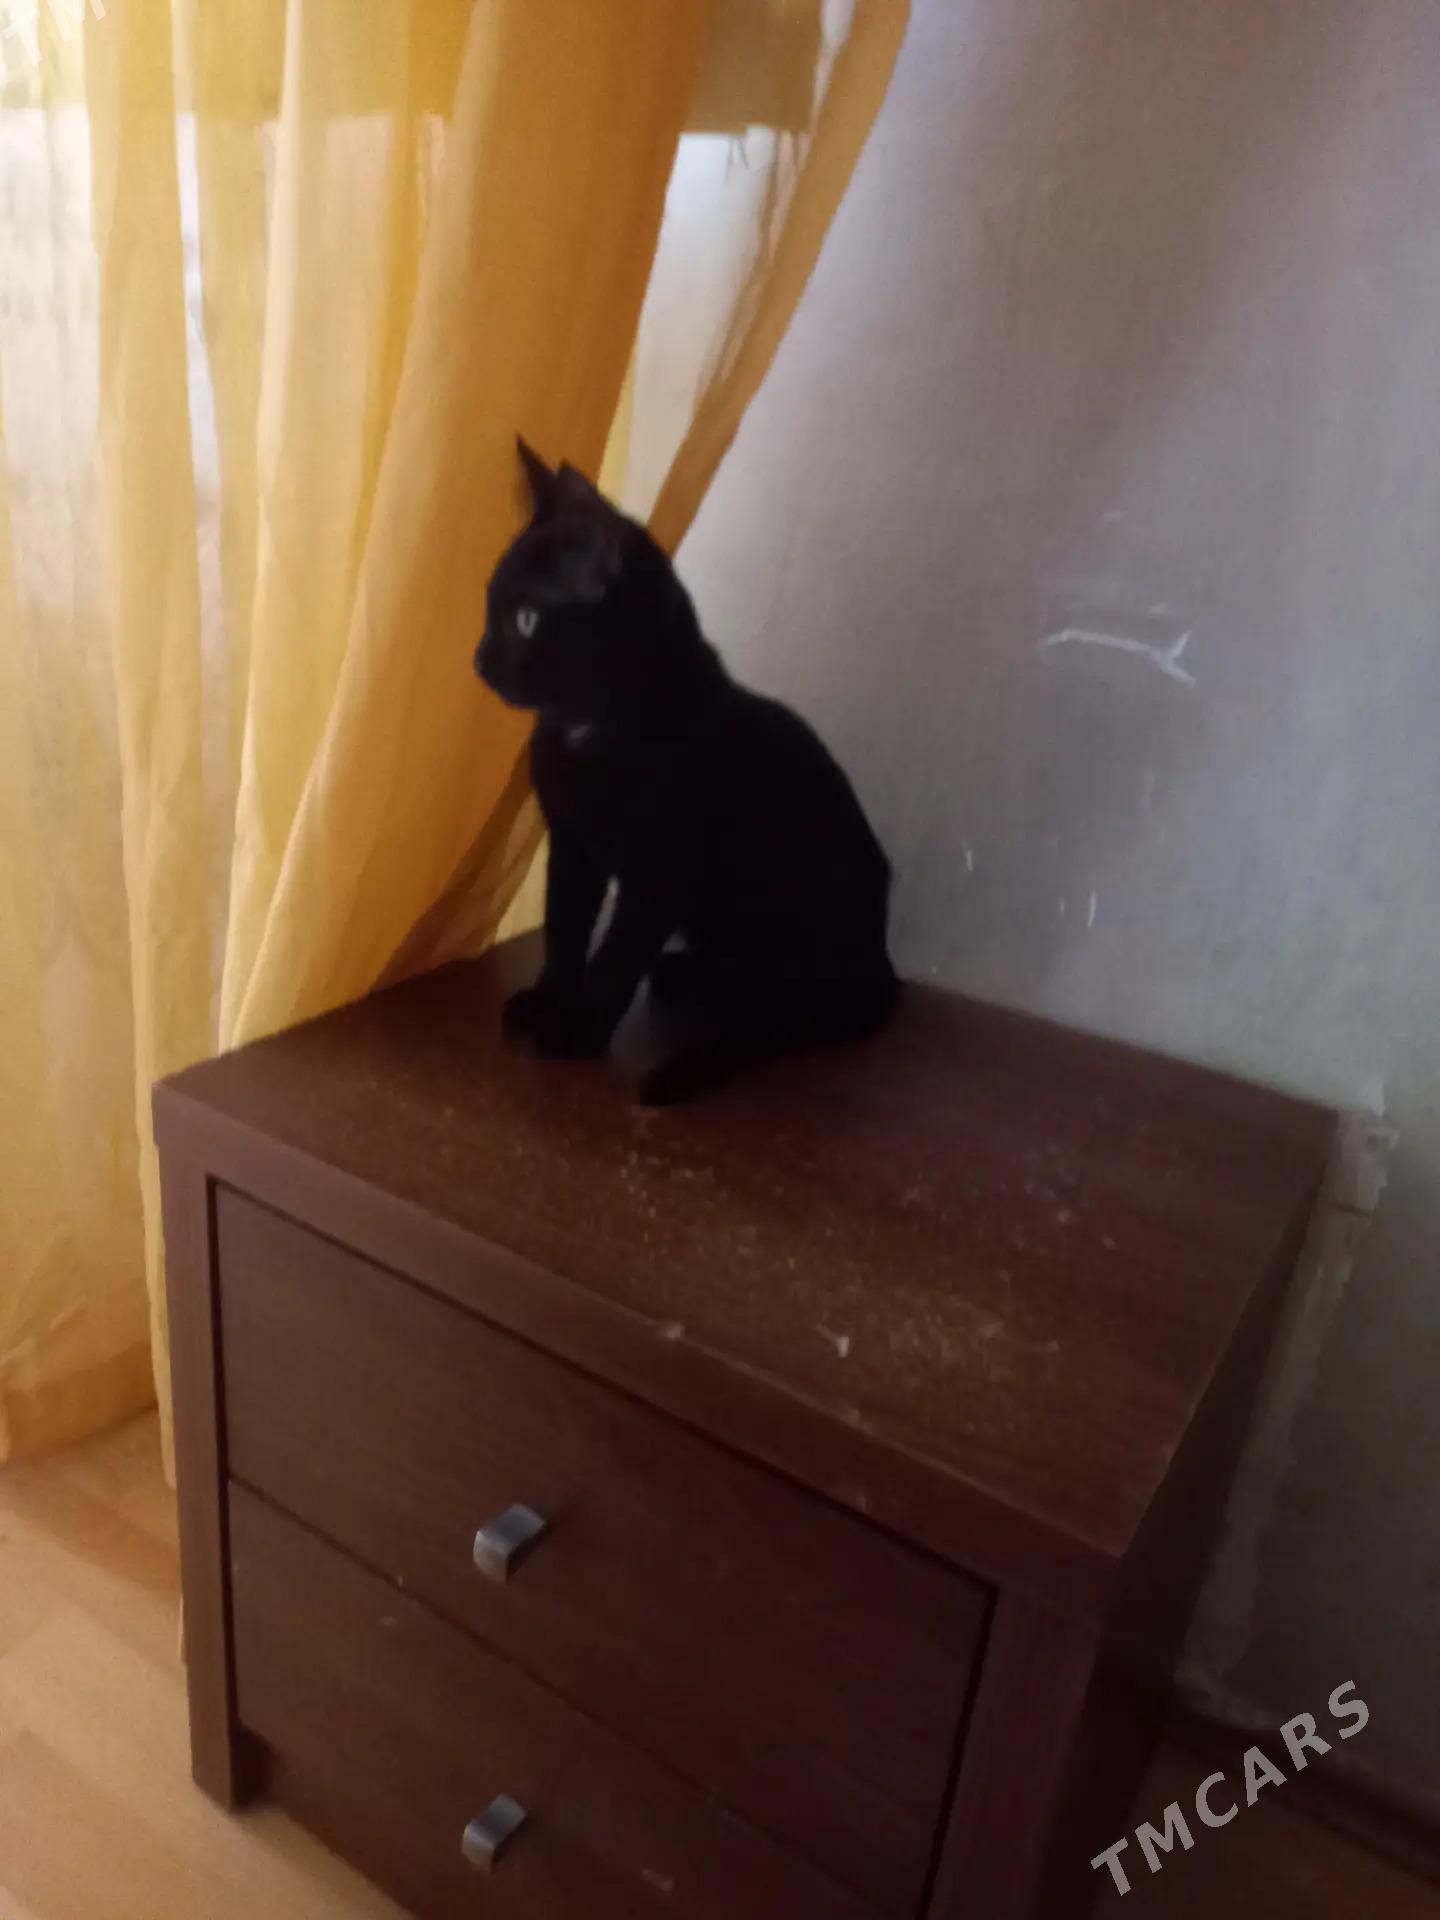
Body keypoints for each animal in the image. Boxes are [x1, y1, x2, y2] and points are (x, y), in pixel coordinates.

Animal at [474, 437, 899, 1104]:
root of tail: (882, 968)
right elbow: (565, 928)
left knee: (797, 1005)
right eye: (492, 608)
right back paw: (690, 971)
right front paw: (547, 998)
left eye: (525, 619)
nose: (479, 659)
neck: (588, 729)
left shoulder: (662, 870)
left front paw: (577, 1030)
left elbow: (617, 953)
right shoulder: (572, 847)